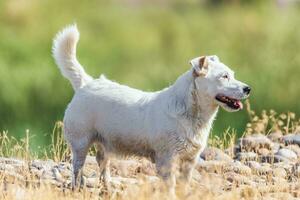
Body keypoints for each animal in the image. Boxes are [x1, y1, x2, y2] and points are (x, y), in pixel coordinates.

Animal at [52, 24, 251, 195]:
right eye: (224, 76)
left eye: (232, 74)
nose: (248, 88)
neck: (192, 113)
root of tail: (86, 83)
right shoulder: (167, 160)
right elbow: (170, 186)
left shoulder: (189, 161)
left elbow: (184, 184)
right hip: (80, 143)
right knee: (78, 168)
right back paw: (77, 188)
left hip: (105, 142)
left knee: (103, 163)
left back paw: (108, 188)